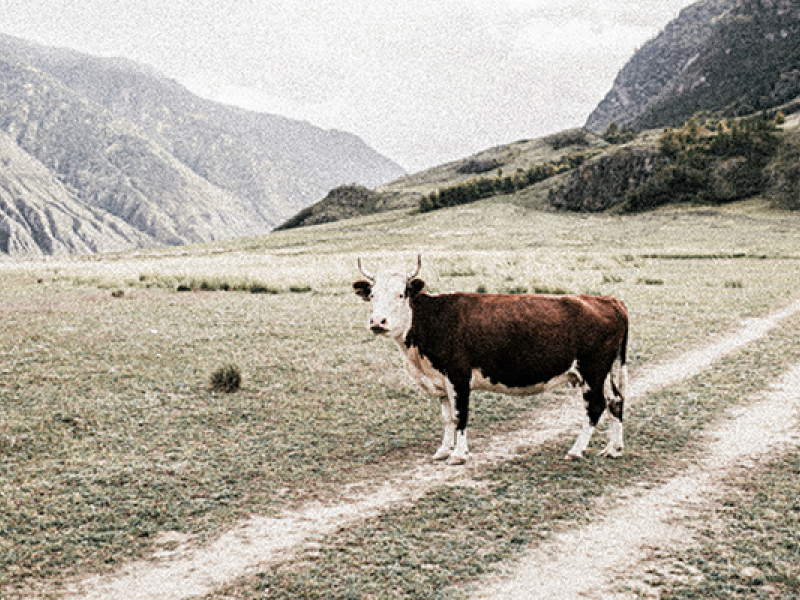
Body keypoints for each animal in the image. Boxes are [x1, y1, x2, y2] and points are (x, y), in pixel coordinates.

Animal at [353, 256, 629, 465]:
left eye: (401, 294)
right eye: (372, 296)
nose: (377, 321)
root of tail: (607, 300)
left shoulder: (458, 377)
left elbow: (460, 415)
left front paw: (458, 454)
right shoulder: (440, 381)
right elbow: (447, 417)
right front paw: (443, 450)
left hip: (592, 371)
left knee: (596, 406)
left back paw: (576, 450)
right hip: (602, 372)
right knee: (615, 400)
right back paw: (613, 448)